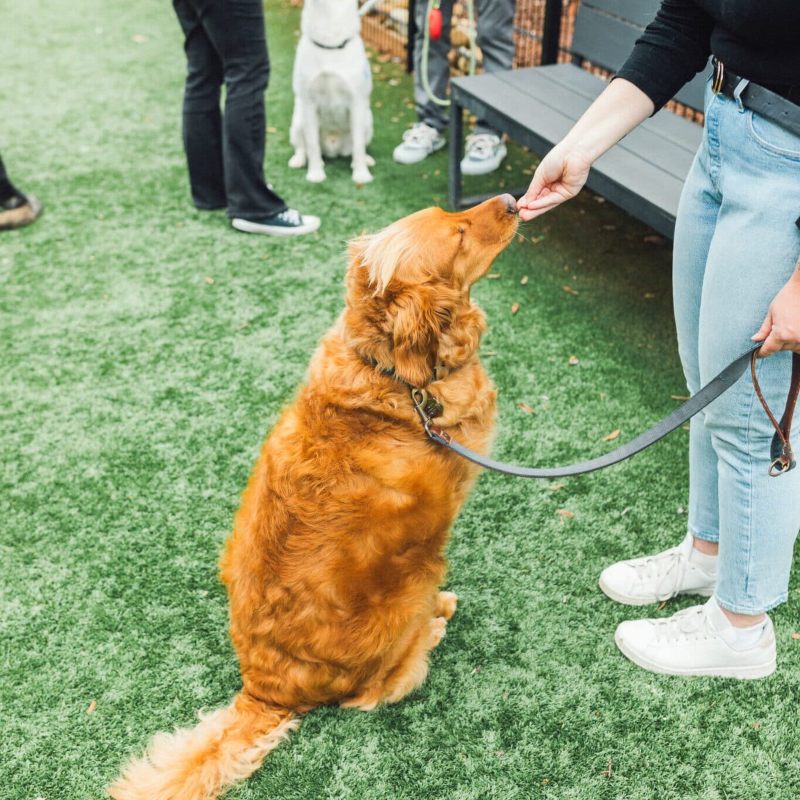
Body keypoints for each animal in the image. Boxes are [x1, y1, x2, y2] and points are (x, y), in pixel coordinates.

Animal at [109, 194, 520, 800]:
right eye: (460, 233)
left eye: (452, 213)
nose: (513, 200)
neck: (393, 377)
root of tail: (266, 688)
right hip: (414, 580)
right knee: (373, 692)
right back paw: (435, 623)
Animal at [290, 0, 374, 183]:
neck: (330, 46)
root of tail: (334, 148)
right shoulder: (309, 103)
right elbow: (312, 144)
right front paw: (315, 174)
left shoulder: (357, 102)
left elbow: (359, 145)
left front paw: (361, 175)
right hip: (298, 121)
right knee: (302, 147)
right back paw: (299, 160)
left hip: (368, 120)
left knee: (359, 147)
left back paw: (366, 160)